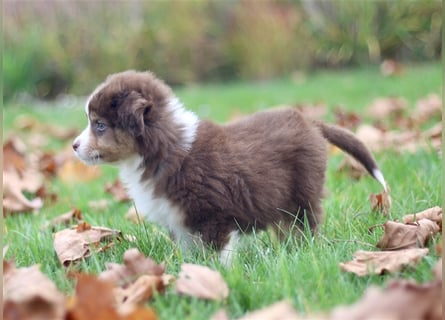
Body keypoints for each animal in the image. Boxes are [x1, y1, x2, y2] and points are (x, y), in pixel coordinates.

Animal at [73, 71, 386, 264]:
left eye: (99, 125)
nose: (74, 146)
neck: (164, 148)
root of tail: (311, 123)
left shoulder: (215, 214)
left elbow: (218, 253)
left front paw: (219, 275)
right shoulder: (180, 223)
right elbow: (190, 253)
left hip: (302, 194)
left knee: (305, 224)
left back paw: (301, 251)